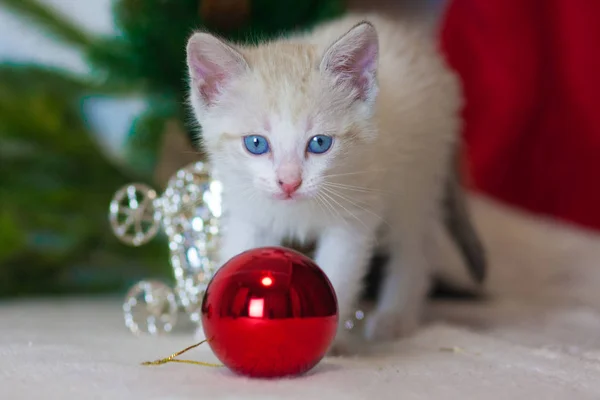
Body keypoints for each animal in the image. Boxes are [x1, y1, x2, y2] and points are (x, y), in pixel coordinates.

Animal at [185, 11, 480, 350]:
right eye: (256, 144)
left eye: (320, 143)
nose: (289, 182)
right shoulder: (249, 210)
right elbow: (241, 252)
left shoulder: (354, 217)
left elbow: (340, 272)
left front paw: (329, 343)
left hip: (417, 181)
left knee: (415, 245)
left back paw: (395, 316)